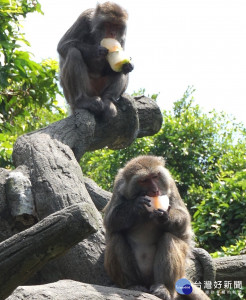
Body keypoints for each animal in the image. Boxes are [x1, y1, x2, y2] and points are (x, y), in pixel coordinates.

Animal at [103, 156, 209, 298]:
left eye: (155, 176)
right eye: (144, 180)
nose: (155, 190)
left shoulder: (171, 184)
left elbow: (183, 221)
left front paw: (164, 217)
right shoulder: (118, 186)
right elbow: (110, 221)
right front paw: (136, 205)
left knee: (169, 238)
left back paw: (164, 287)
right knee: (116, 237)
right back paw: (132, 284)